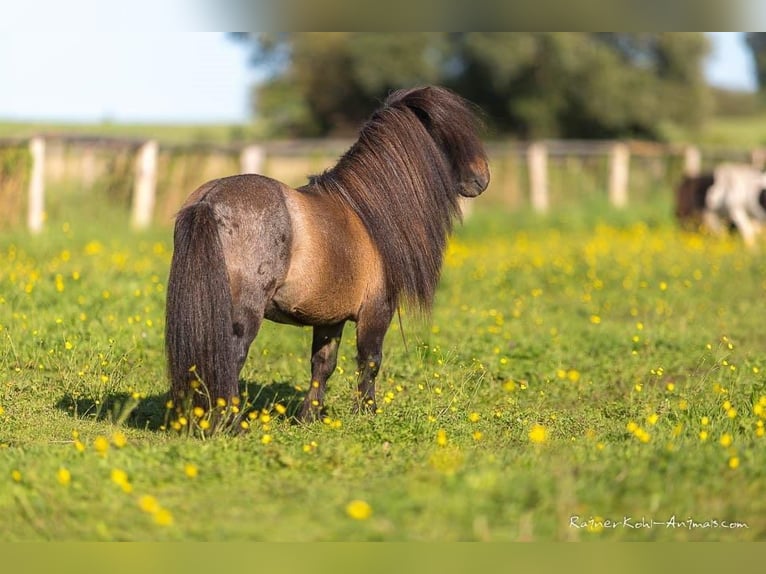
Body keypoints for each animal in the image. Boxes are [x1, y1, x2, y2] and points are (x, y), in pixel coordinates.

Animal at [168, 88, 492, 426]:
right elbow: (370, 361)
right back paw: (230, 423)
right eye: (448, 134)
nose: (482, 178)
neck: (366, 213)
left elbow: (323, 364)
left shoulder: (329, 318)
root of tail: (209, 200)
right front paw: (367, 413)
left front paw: (309, 416)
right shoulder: (377, 309)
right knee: (232, 355)